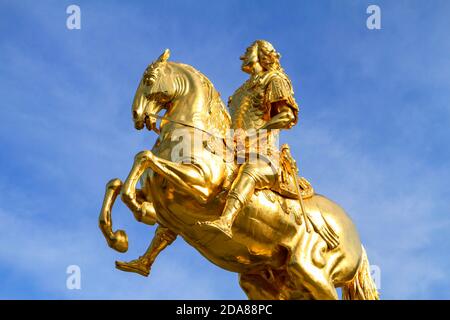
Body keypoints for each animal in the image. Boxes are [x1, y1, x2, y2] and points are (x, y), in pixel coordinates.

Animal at [98, 50, 380, 300]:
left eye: (149, 78)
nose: (136, 116)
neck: (192, 135)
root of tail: (357, 241)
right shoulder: (163, 200)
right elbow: (117, 184)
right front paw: (118, 238)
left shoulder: (199, 185)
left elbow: (143, 157)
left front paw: (135, 209)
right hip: (266, 282)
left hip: (311, 273)